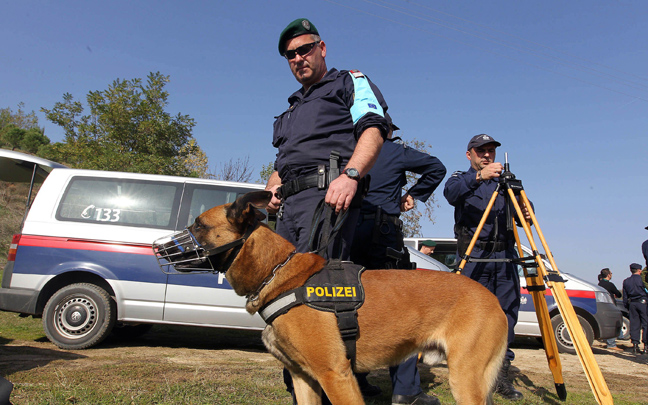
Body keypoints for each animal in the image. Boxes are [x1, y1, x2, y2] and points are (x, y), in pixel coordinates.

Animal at [181, 191, 506, 402]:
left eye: (199, 224)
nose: (168, 244)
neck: (279, 273)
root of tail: (492, 298)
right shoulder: (304, 379)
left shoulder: (335, 375)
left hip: (465, 380)